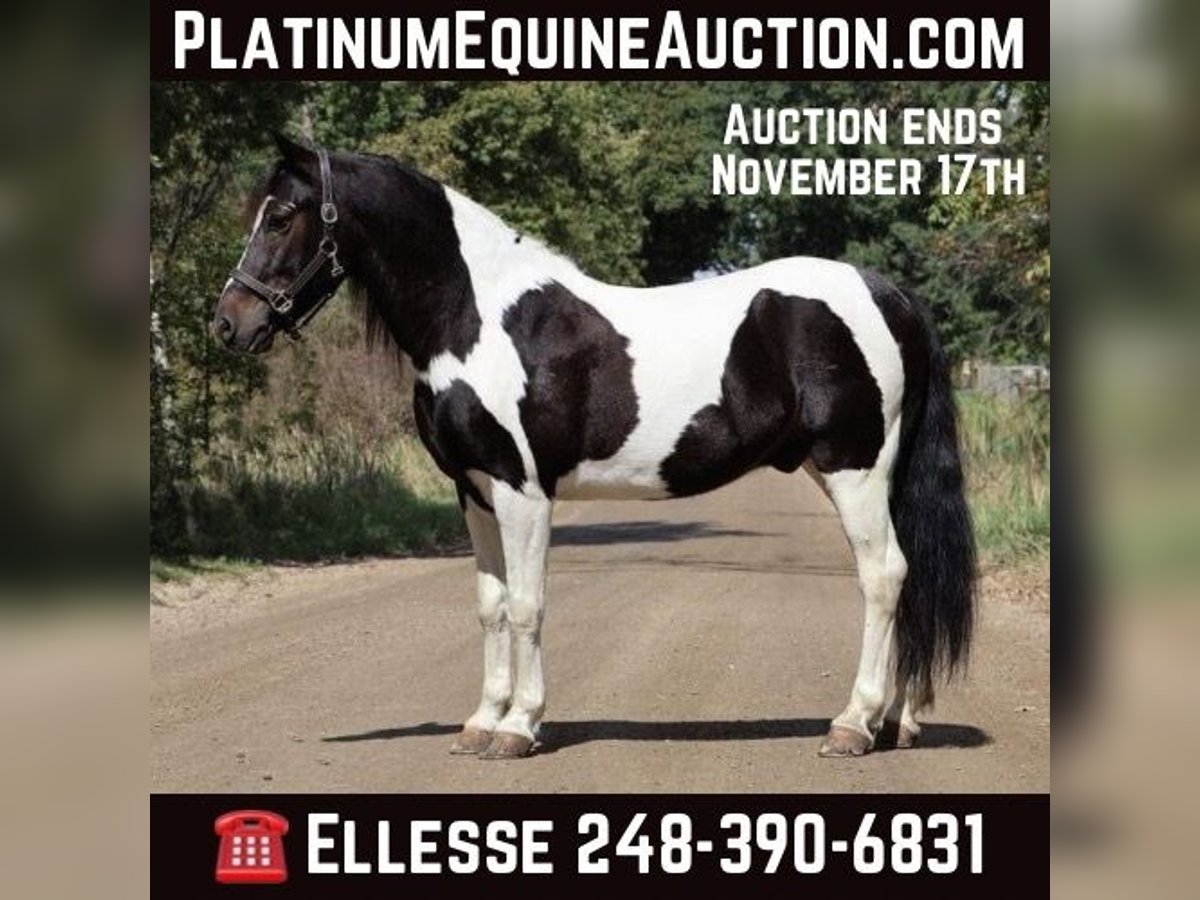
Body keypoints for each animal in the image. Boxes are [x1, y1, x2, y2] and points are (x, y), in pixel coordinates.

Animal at [213, 134, 975, 760]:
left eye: (282, 216)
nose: (229, 324)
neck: (475, 319)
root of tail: (889, 295)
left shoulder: (522, 490)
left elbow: (527, 604)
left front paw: (519, 728)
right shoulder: (473, 489)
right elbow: (490, 606)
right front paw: (481, 722)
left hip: (855, 470)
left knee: (884, 577)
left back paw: (853, 725)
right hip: (869, 474)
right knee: (907, 579)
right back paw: (898, 722)